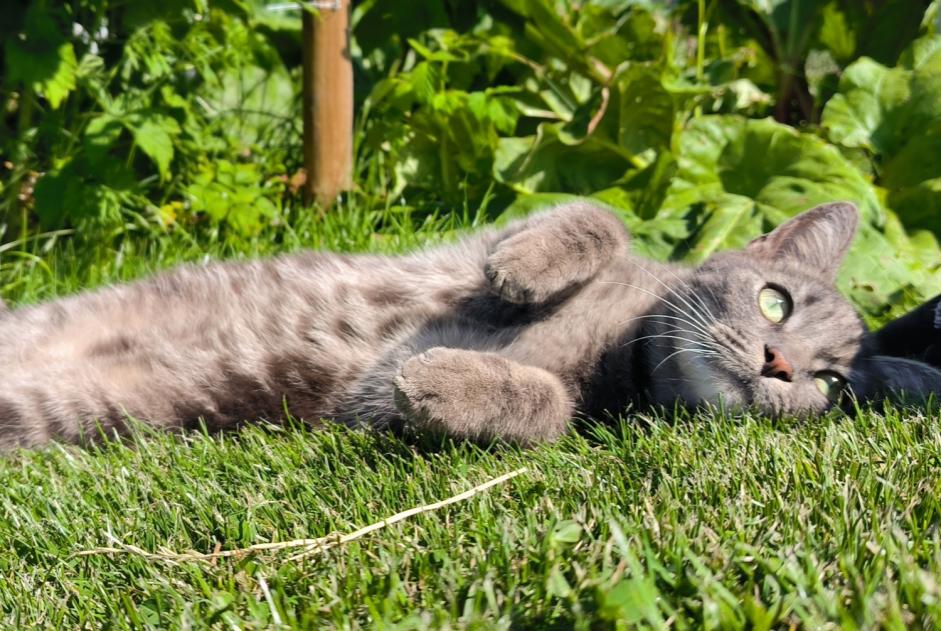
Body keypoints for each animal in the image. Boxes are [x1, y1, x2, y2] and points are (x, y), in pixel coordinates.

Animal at [0, 199, 936, 450]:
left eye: (831, 383)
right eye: (775, 299)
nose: (780, 364)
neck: (623, 348)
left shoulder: (367, 408)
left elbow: (548, 408)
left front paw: (444, 380)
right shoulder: (465, 248)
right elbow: (603, 217)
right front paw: (528, 266)